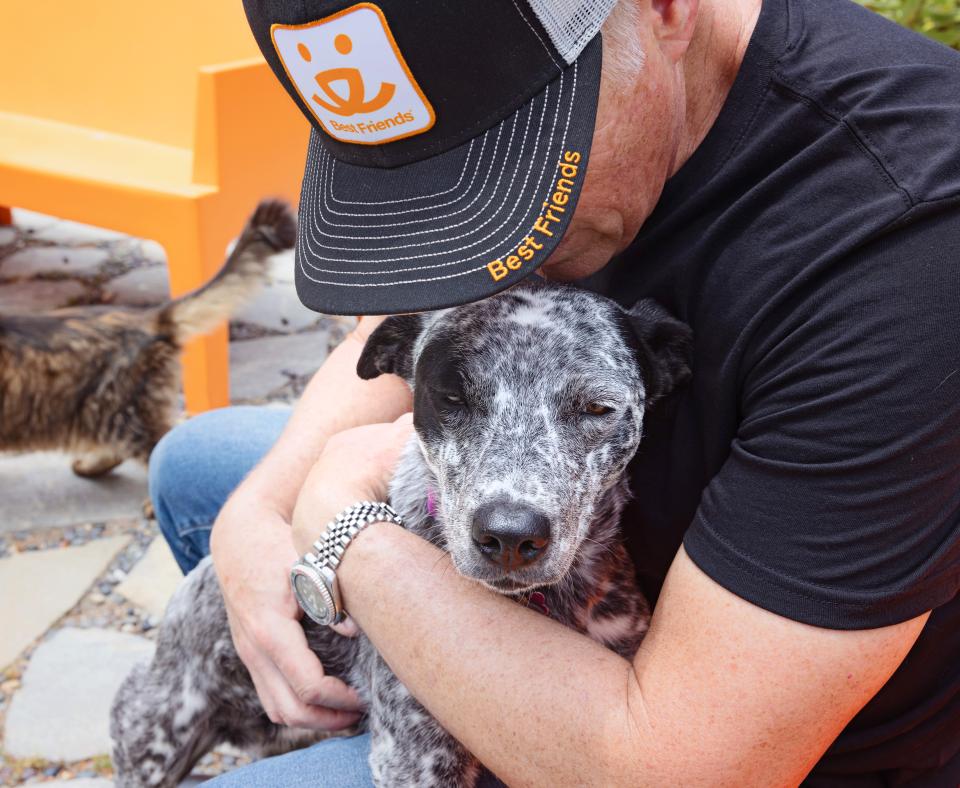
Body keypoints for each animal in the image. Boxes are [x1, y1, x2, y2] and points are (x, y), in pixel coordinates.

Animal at [110, 282, 688, 788]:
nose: (508, 535)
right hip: (154, 732)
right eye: (451, 397)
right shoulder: (415, 759)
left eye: (596, 407)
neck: (548, 606)